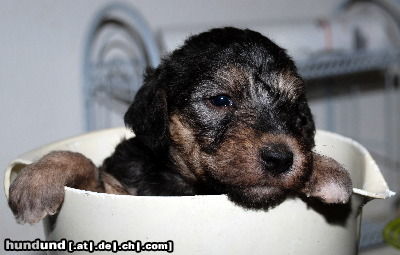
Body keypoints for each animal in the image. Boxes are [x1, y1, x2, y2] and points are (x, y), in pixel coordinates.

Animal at [8, 26, 354, 224]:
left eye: (293, 108)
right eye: (220, 100)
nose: (281, 158)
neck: (189, 186)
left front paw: (326, 170)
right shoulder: (113, 190)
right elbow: (83, 163)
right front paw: (36, 180)